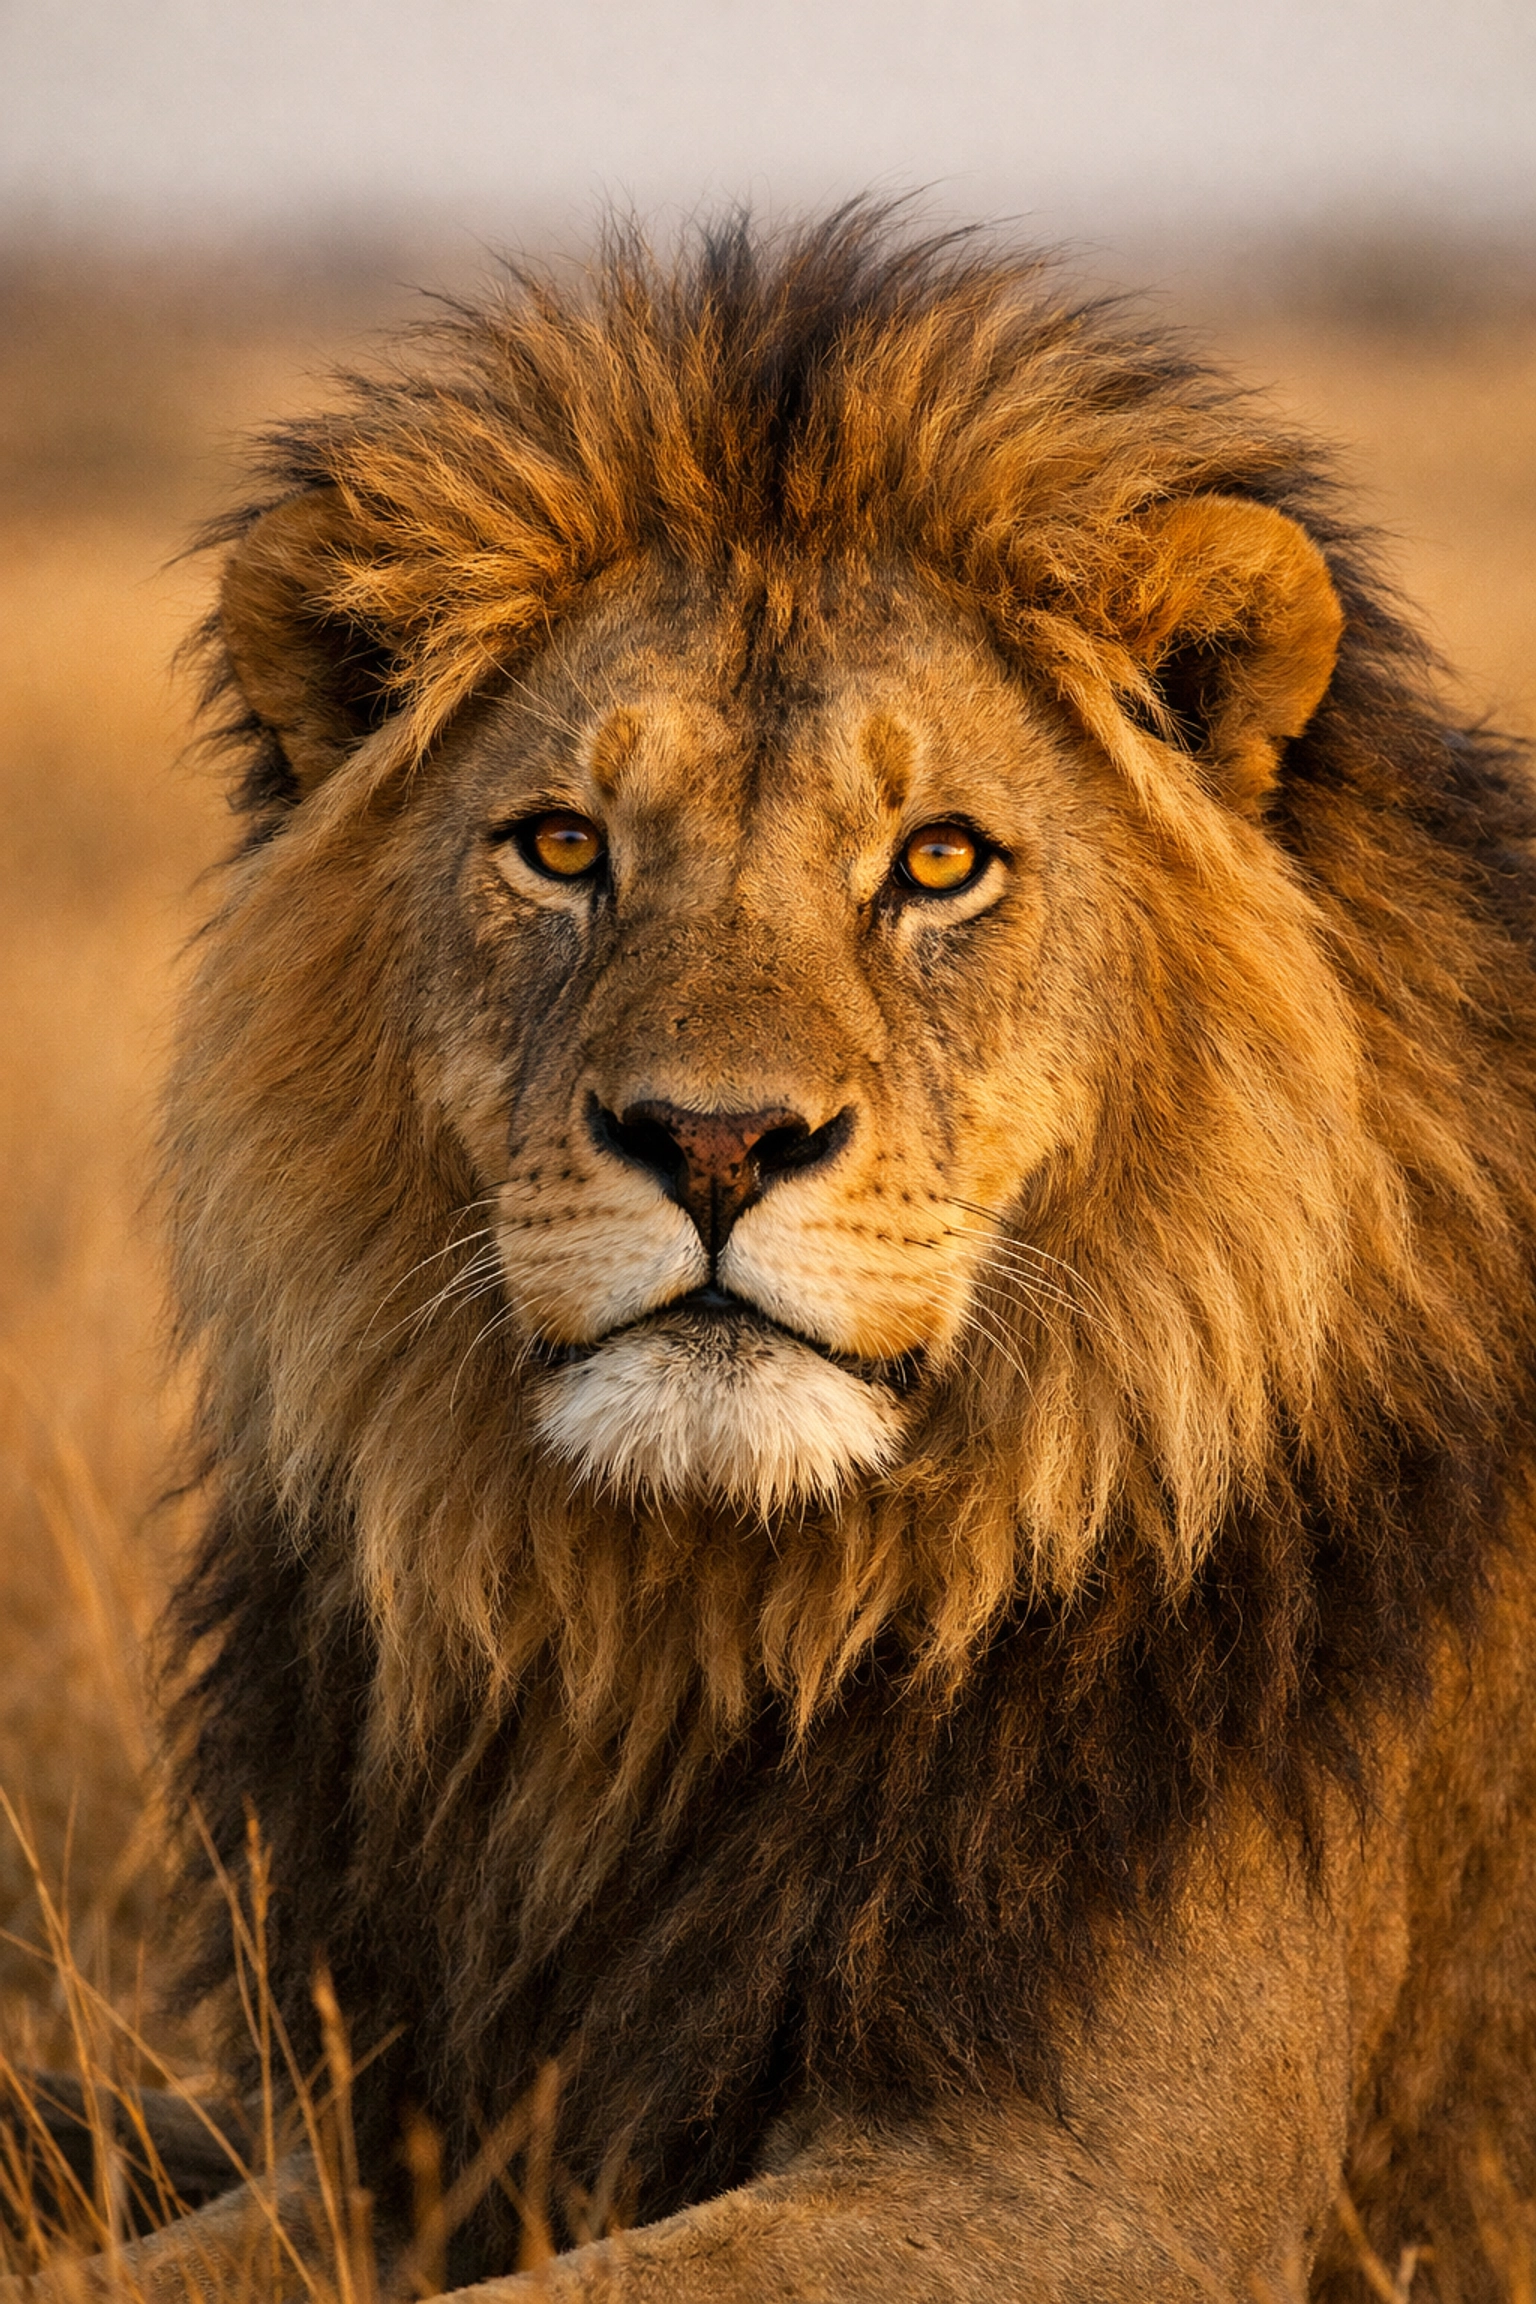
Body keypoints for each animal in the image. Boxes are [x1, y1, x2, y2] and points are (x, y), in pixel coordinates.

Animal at [37, 208, 1536, 2301]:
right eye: (563, 846)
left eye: (938, 861)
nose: (715, 1140)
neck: (713, 1633)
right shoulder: (390, 2141)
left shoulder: (1100, 2192)